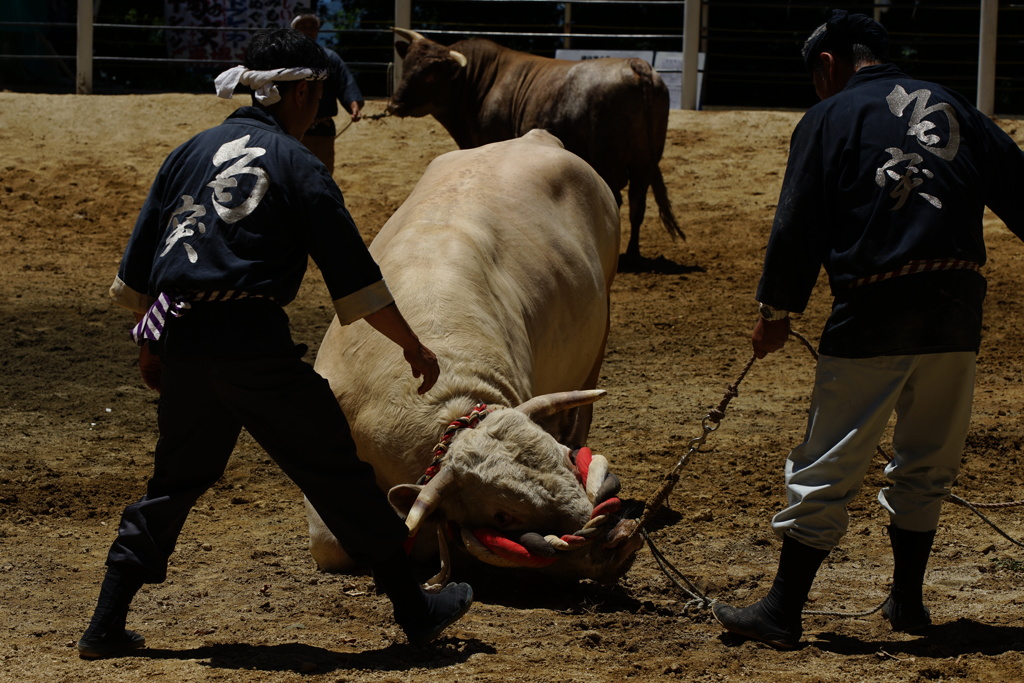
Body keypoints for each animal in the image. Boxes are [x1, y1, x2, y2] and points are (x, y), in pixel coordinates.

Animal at [305, 131, 638, 585]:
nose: (619, 537)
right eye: (502, 516)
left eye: (567, 461)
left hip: (603, 315)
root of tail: (534, 137)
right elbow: (333, 545)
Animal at [387, 28, 684, 262]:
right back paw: (633, 254)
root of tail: (635, 64)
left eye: (430, 74)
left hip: (609, 161)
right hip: (644, 163)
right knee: (637, 204)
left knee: (621, 200)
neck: (479, 84)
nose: (394, 104)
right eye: (408, 65)